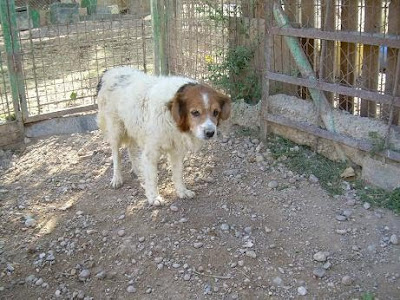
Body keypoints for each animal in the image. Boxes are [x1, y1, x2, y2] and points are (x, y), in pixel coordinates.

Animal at [95, 66, 231, 205]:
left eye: (216, 112)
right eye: (195, 112)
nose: (210, 133)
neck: (170, 114)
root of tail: (109, 71)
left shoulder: (177, 150)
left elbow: (178, 173)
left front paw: (182, 191)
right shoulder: (151, 152)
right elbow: (152, 177)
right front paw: (154, 197)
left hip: (132, 126)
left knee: (131, 148)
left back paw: (137, 169)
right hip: (116, 129)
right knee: (116, 155)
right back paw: (117, 178)